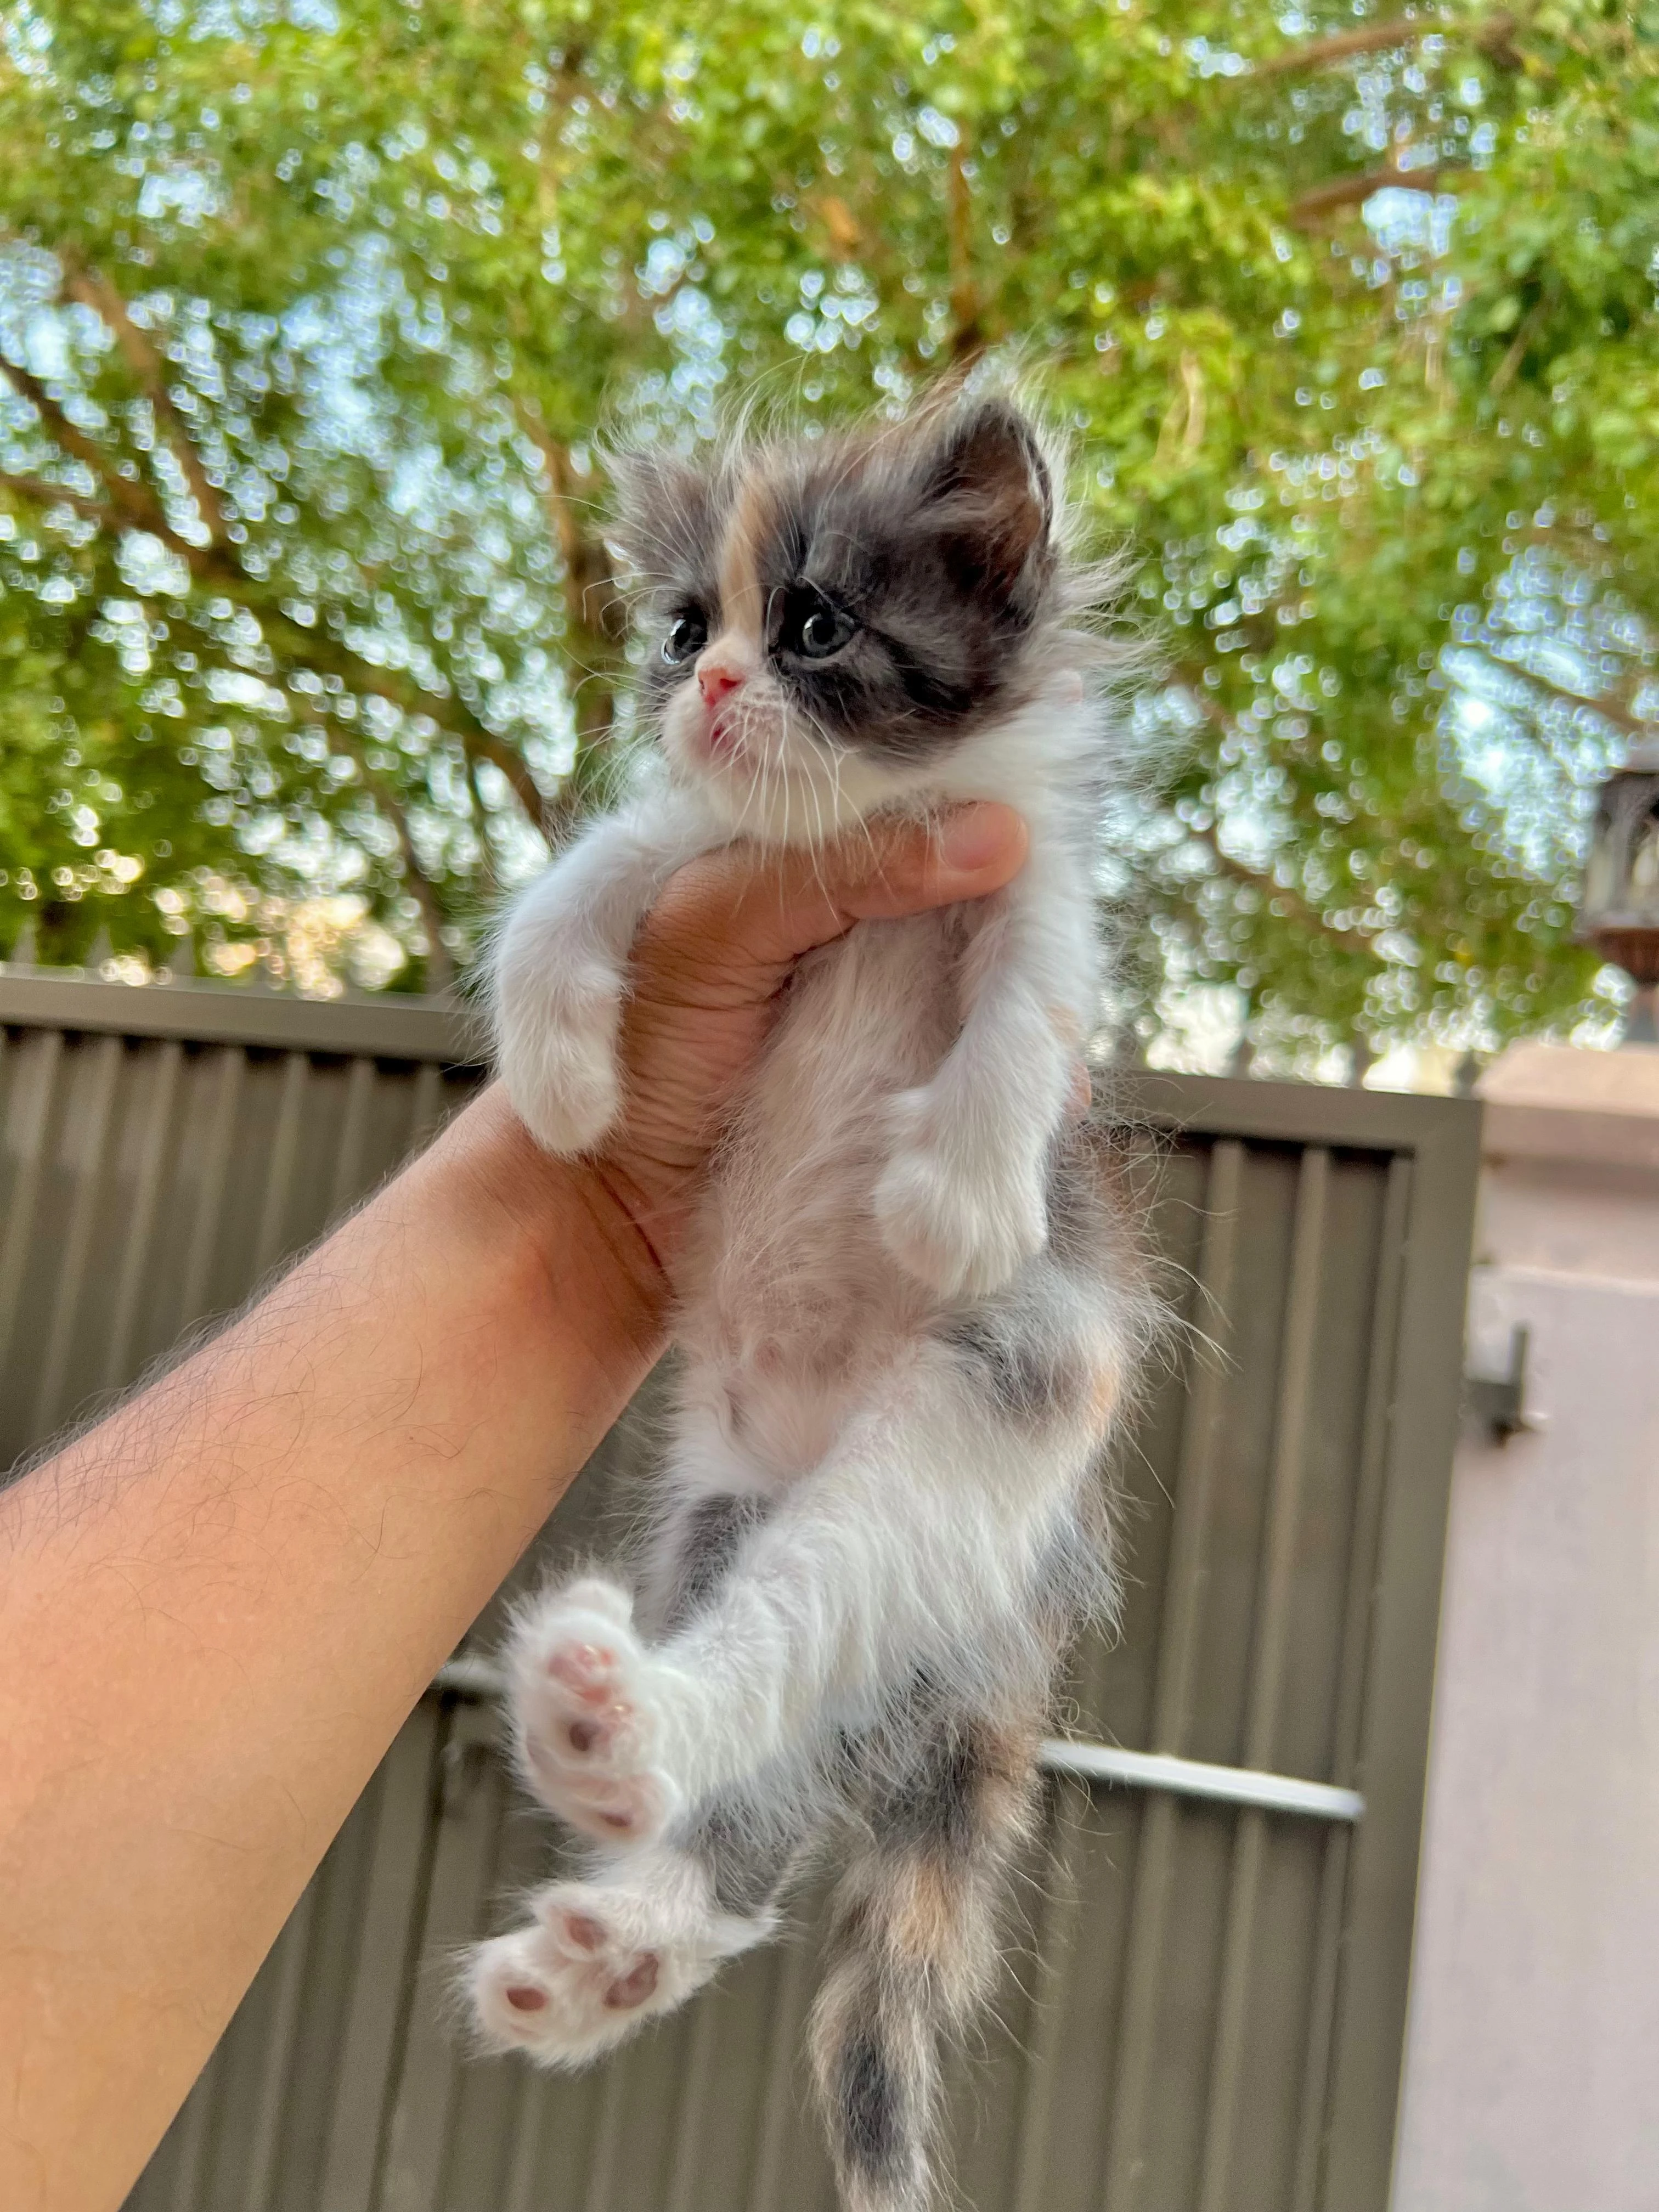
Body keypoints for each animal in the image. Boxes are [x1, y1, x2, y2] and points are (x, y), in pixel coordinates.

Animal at [469, 398, 1159, 2212]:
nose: (708, 686)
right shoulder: (692, 860)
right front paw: (562, 1075)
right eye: (682, 630)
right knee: (752, 1798)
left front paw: (962, 1195)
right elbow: (579, 880)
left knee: (774, 1685)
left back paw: (612, 1739)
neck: (848, 838)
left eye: (817, 626)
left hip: (947, 1466)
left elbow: (1024, 994)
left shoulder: (1029, 886)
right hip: (725, 1514)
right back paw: (605, 1944)